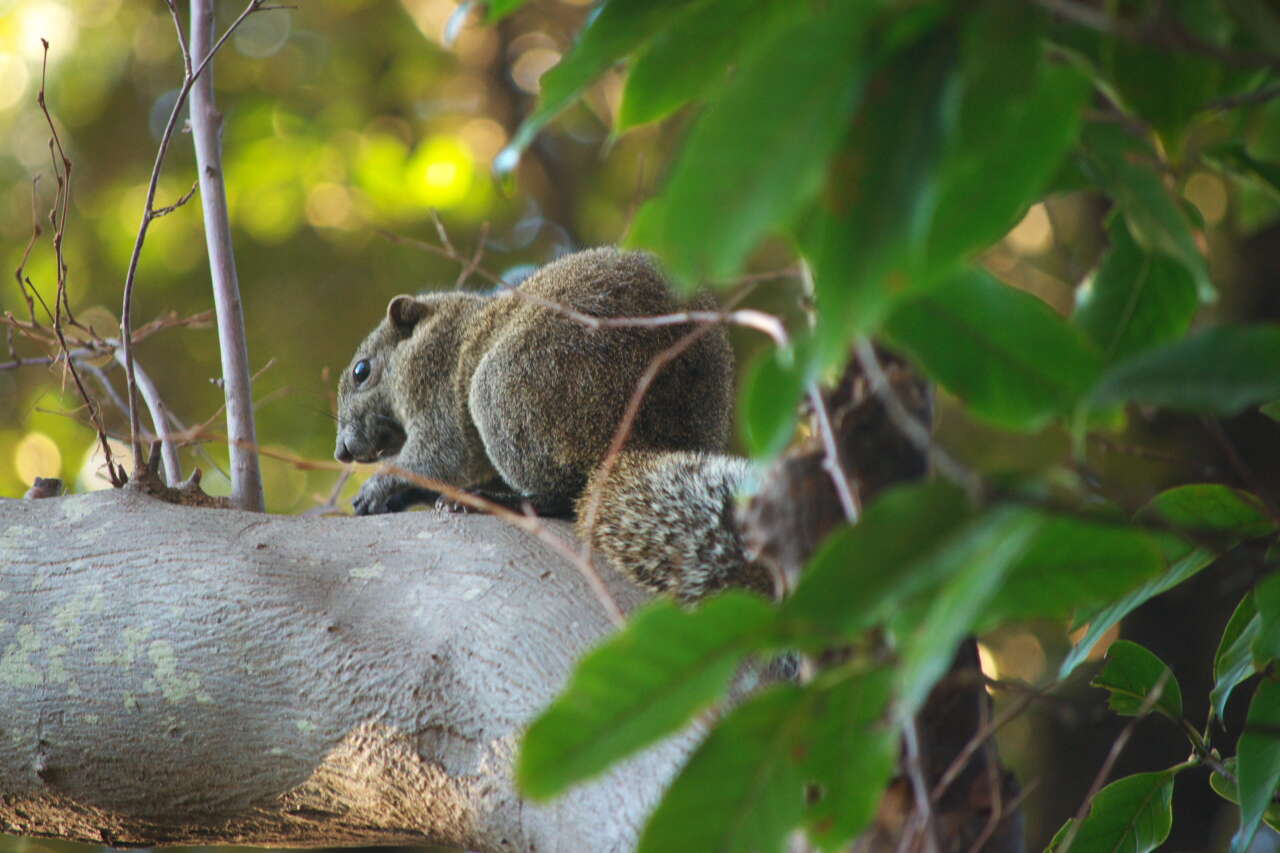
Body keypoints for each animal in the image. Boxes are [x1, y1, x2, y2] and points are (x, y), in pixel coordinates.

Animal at [332, 245, 768, 596]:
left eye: (361, 371)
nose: (341, 452)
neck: (454, 326)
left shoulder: (435, 387)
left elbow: (439, 456)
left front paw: (381, 486)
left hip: (513, 387)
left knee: (560, 492)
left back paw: (501, 500)